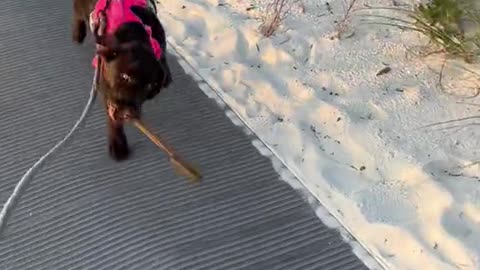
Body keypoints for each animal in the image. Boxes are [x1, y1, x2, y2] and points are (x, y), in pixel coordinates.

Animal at [70, 0, 171, 160]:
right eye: (125, 76)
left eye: (150, 85)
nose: (127, 114)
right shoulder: (106, 90)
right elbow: (113, 119)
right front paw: (118, 143)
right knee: (77, 14)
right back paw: (78, 33)